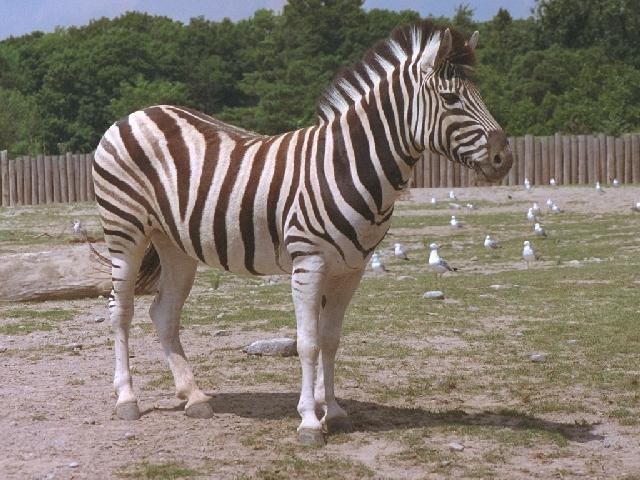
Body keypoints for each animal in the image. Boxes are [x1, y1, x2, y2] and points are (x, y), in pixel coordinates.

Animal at [93, 20, 512, 445]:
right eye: (451, 98)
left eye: (479, 94)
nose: (504, 159)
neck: (347, 165)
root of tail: (138, 113)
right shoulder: (308, 263)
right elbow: (307, 343)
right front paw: (310, 421)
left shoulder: (351, 269)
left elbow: (330, 339)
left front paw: (336, 412)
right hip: (124, 230)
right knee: (120, 311)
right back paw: (127, 399)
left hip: (175, 244)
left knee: (163, 313)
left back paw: (194, 397)